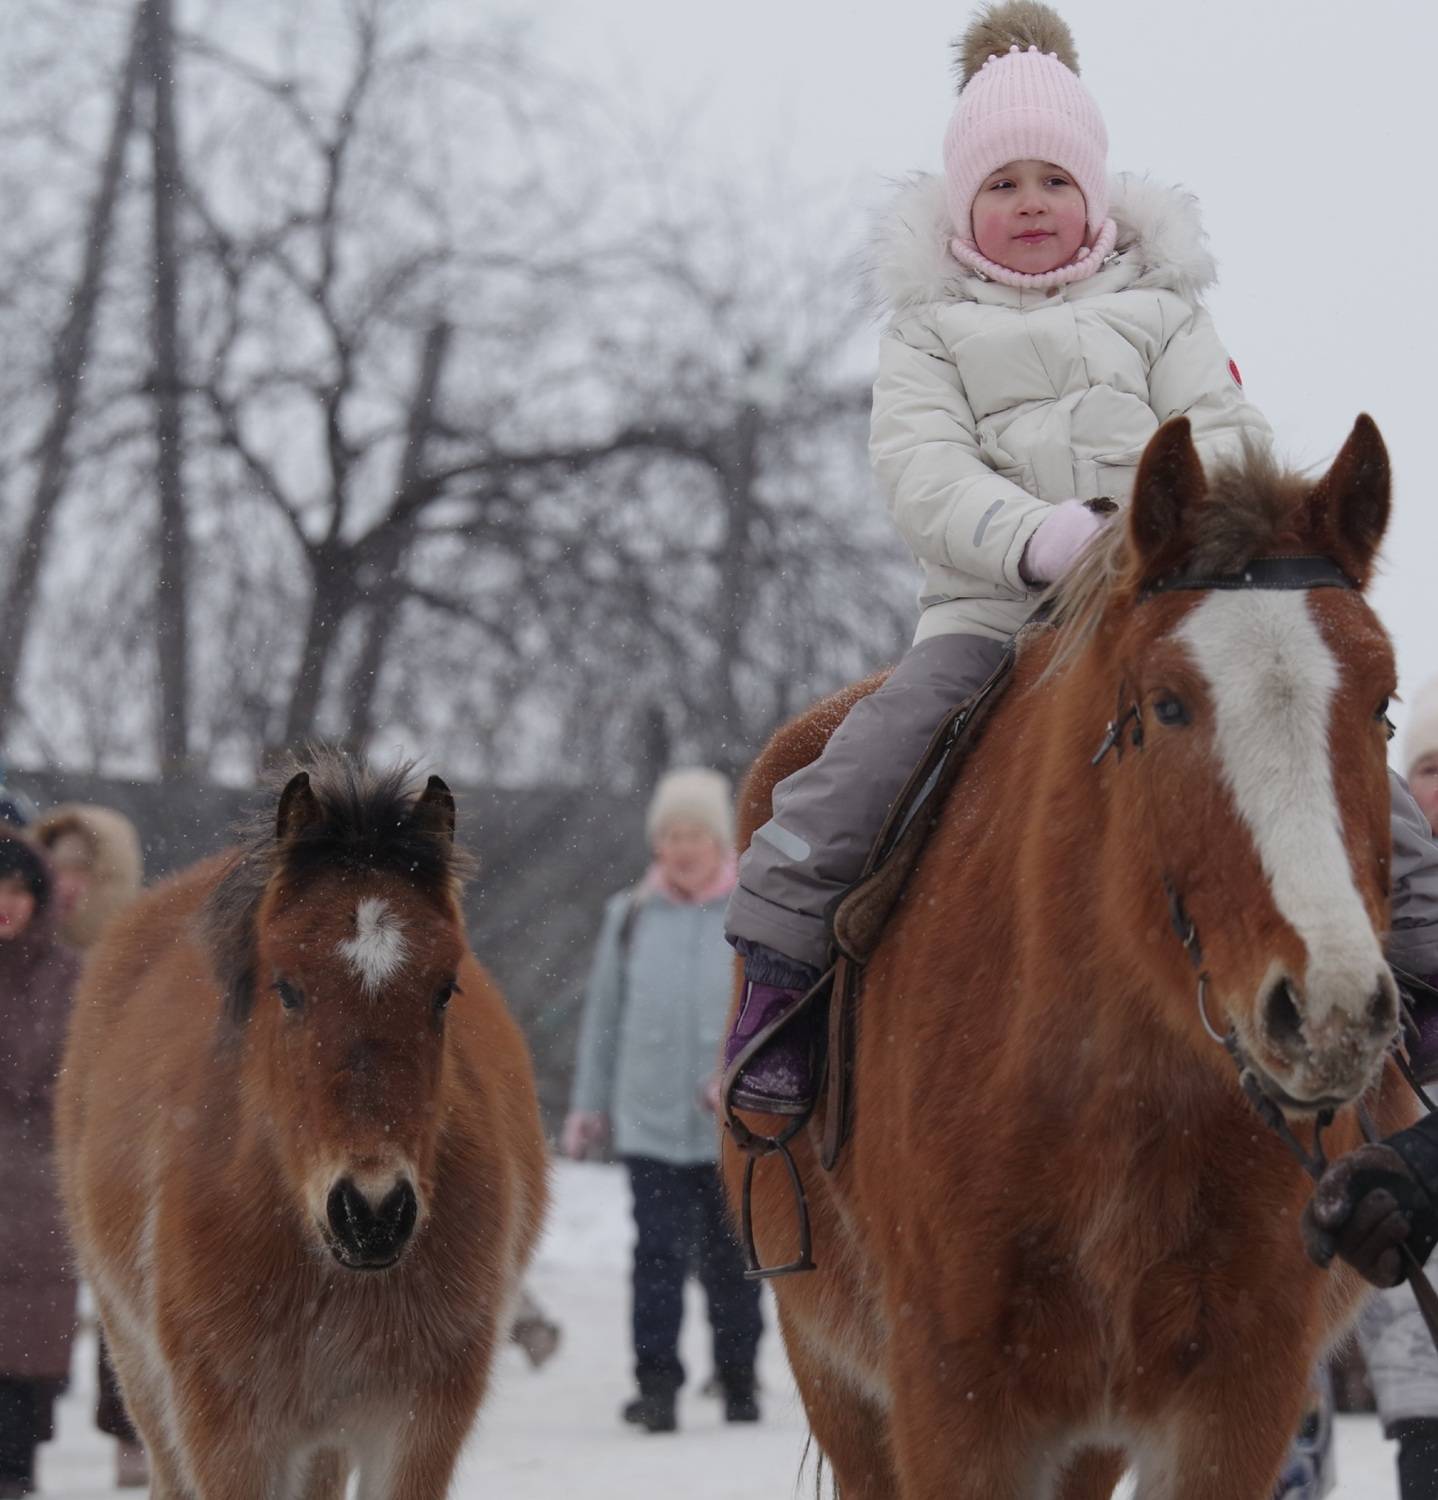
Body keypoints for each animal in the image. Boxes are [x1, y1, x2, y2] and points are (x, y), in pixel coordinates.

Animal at [56, 756, 549, 1500]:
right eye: (287, 987)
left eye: (445, 989)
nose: (372, 1212)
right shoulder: (226, 1430)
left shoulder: (417, 1424)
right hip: (141, 1372)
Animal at [723, 415, 1414, 1499]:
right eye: (1167, 706)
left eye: (1382, 705)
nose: (1331, 1012)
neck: (1114, 1091)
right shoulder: (953, 1403)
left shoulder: (1236, 1400)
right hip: (834, 1376)